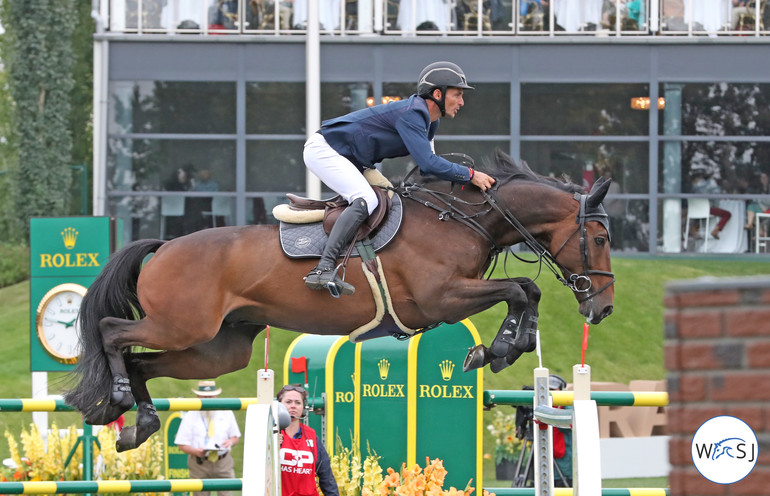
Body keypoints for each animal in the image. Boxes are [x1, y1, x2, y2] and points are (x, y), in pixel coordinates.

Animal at [63, 149, 612, 452]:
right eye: (602, 238)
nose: (602, 308)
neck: (459, 220)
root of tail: (164, 246)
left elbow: (526, 290)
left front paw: (503, 348)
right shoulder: (442, 298)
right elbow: (520, 288)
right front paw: (496, 350)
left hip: (215, 349)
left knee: (143, 361)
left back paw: (139, 424)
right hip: (182, 326)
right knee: (113, 333)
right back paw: (117, 398)